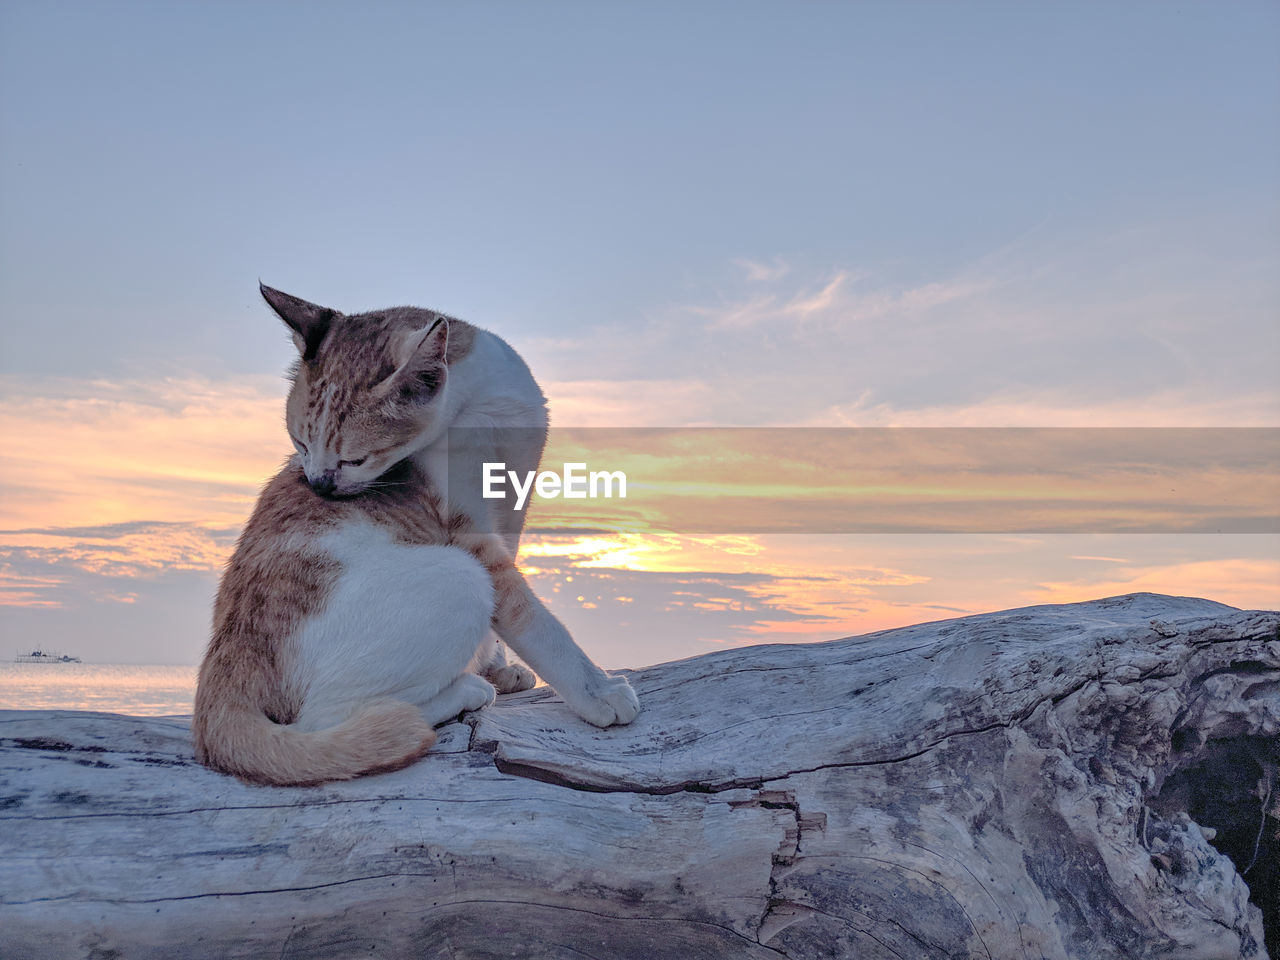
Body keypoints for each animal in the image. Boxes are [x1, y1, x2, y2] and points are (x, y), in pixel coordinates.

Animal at [190, 285, 640, 788]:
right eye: (300, 445)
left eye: (354, 460)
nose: (319, 486)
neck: (480, 406)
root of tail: (222, 667)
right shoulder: (470, 534)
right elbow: (533, 619)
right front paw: (596, 690)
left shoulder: (512, 510)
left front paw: (499, 664)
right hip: (460, 578)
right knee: (327, 720)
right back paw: (464, 690)